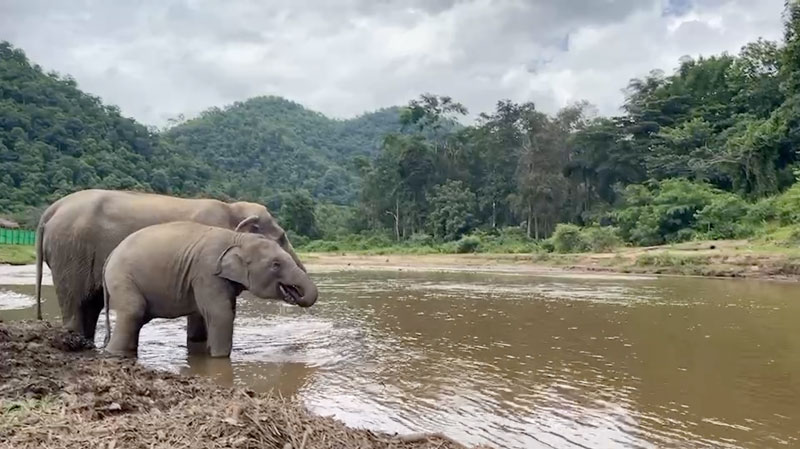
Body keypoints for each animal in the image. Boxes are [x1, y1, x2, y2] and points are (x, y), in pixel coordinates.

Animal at [33, 187, 306, 342]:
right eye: (282, 238)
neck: (232, 208)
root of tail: (51, 210)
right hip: (70, 251)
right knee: (76, 302)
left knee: (91, 303)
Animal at [101, 220, 320, 356]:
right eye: (276, 265)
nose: (297, 295)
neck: (237, 239)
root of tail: (110, 256)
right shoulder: (206, 272)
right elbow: (221, 314)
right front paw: (219, 358)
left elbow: (223, 312)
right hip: (122, 277)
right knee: (133, 311)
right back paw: (114, 353)